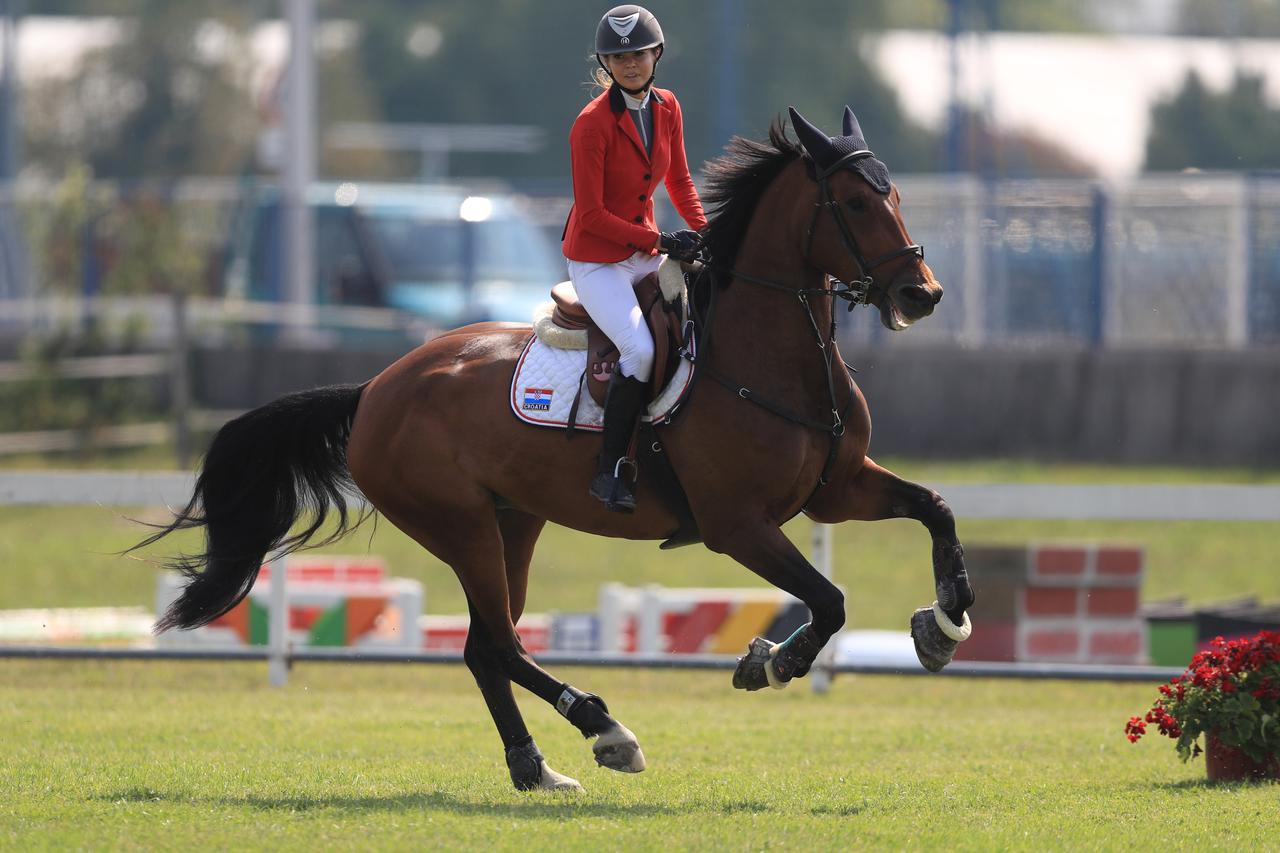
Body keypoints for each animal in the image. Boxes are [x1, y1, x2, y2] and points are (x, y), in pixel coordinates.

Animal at [132, 106, 967, 788]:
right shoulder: (738, 525)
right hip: (460, 524)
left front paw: (944, 623)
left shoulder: (838, 489)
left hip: (514, 522)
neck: (768, 354)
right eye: (855, 203)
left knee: (484, 645)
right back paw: (606, 729)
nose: (922, 294)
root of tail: (376, 387)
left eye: (895, 196)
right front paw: (775, 661)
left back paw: (536, 765)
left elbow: (935, 509)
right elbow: (829, 598)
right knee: (499, 643)